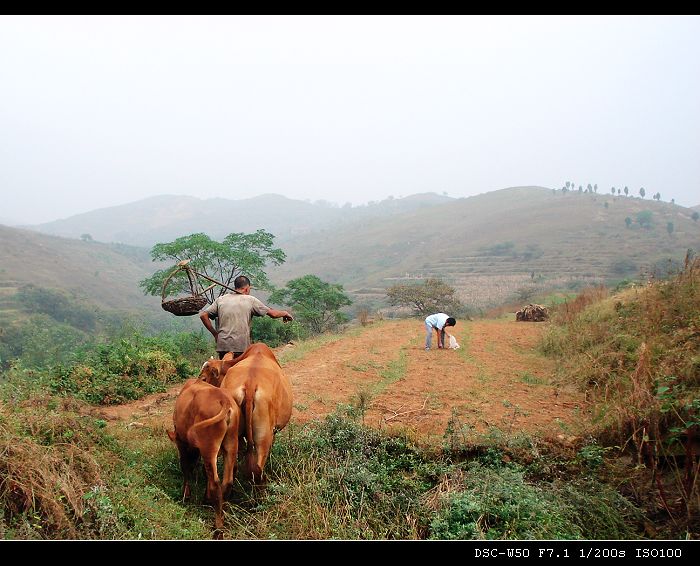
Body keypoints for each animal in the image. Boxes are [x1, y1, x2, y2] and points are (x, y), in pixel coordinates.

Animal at [168, 380, 239, 536]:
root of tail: (224, 400)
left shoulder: (182, 442)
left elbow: (185, 467)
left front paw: (185, 495)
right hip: (231, 443)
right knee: (227, 482)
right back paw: (223, 513)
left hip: (209, 446)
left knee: (215, 483)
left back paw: (218, 528)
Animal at [206, 344, 294, 486]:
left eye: (204, 377)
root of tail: (250, 384)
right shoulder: (273, 431)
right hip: (264, 436)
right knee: (259, 465)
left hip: (234, 434)